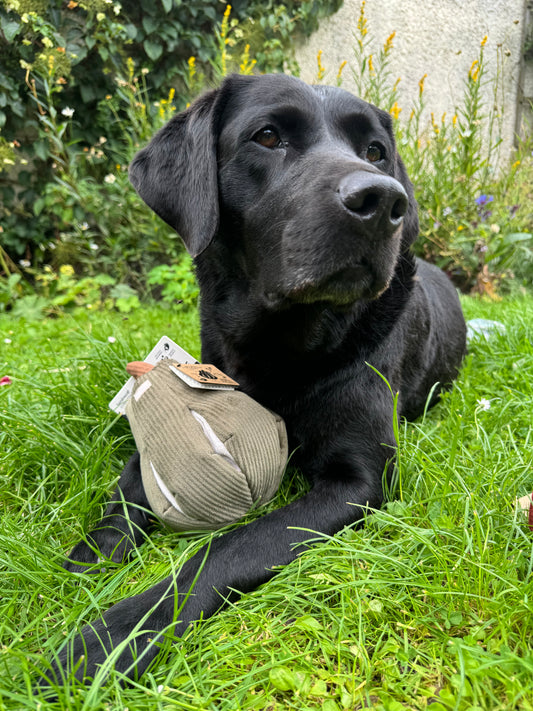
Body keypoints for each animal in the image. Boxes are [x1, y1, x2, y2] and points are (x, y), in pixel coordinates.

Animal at [46, 72, 466, 684]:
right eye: (267, 136)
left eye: (375, 152)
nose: (384, 199)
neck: (281, 345)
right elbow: (125, 495)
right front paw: (85, 562)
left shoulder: (359, 482)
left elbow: (225, 548)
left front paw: (114, 634)